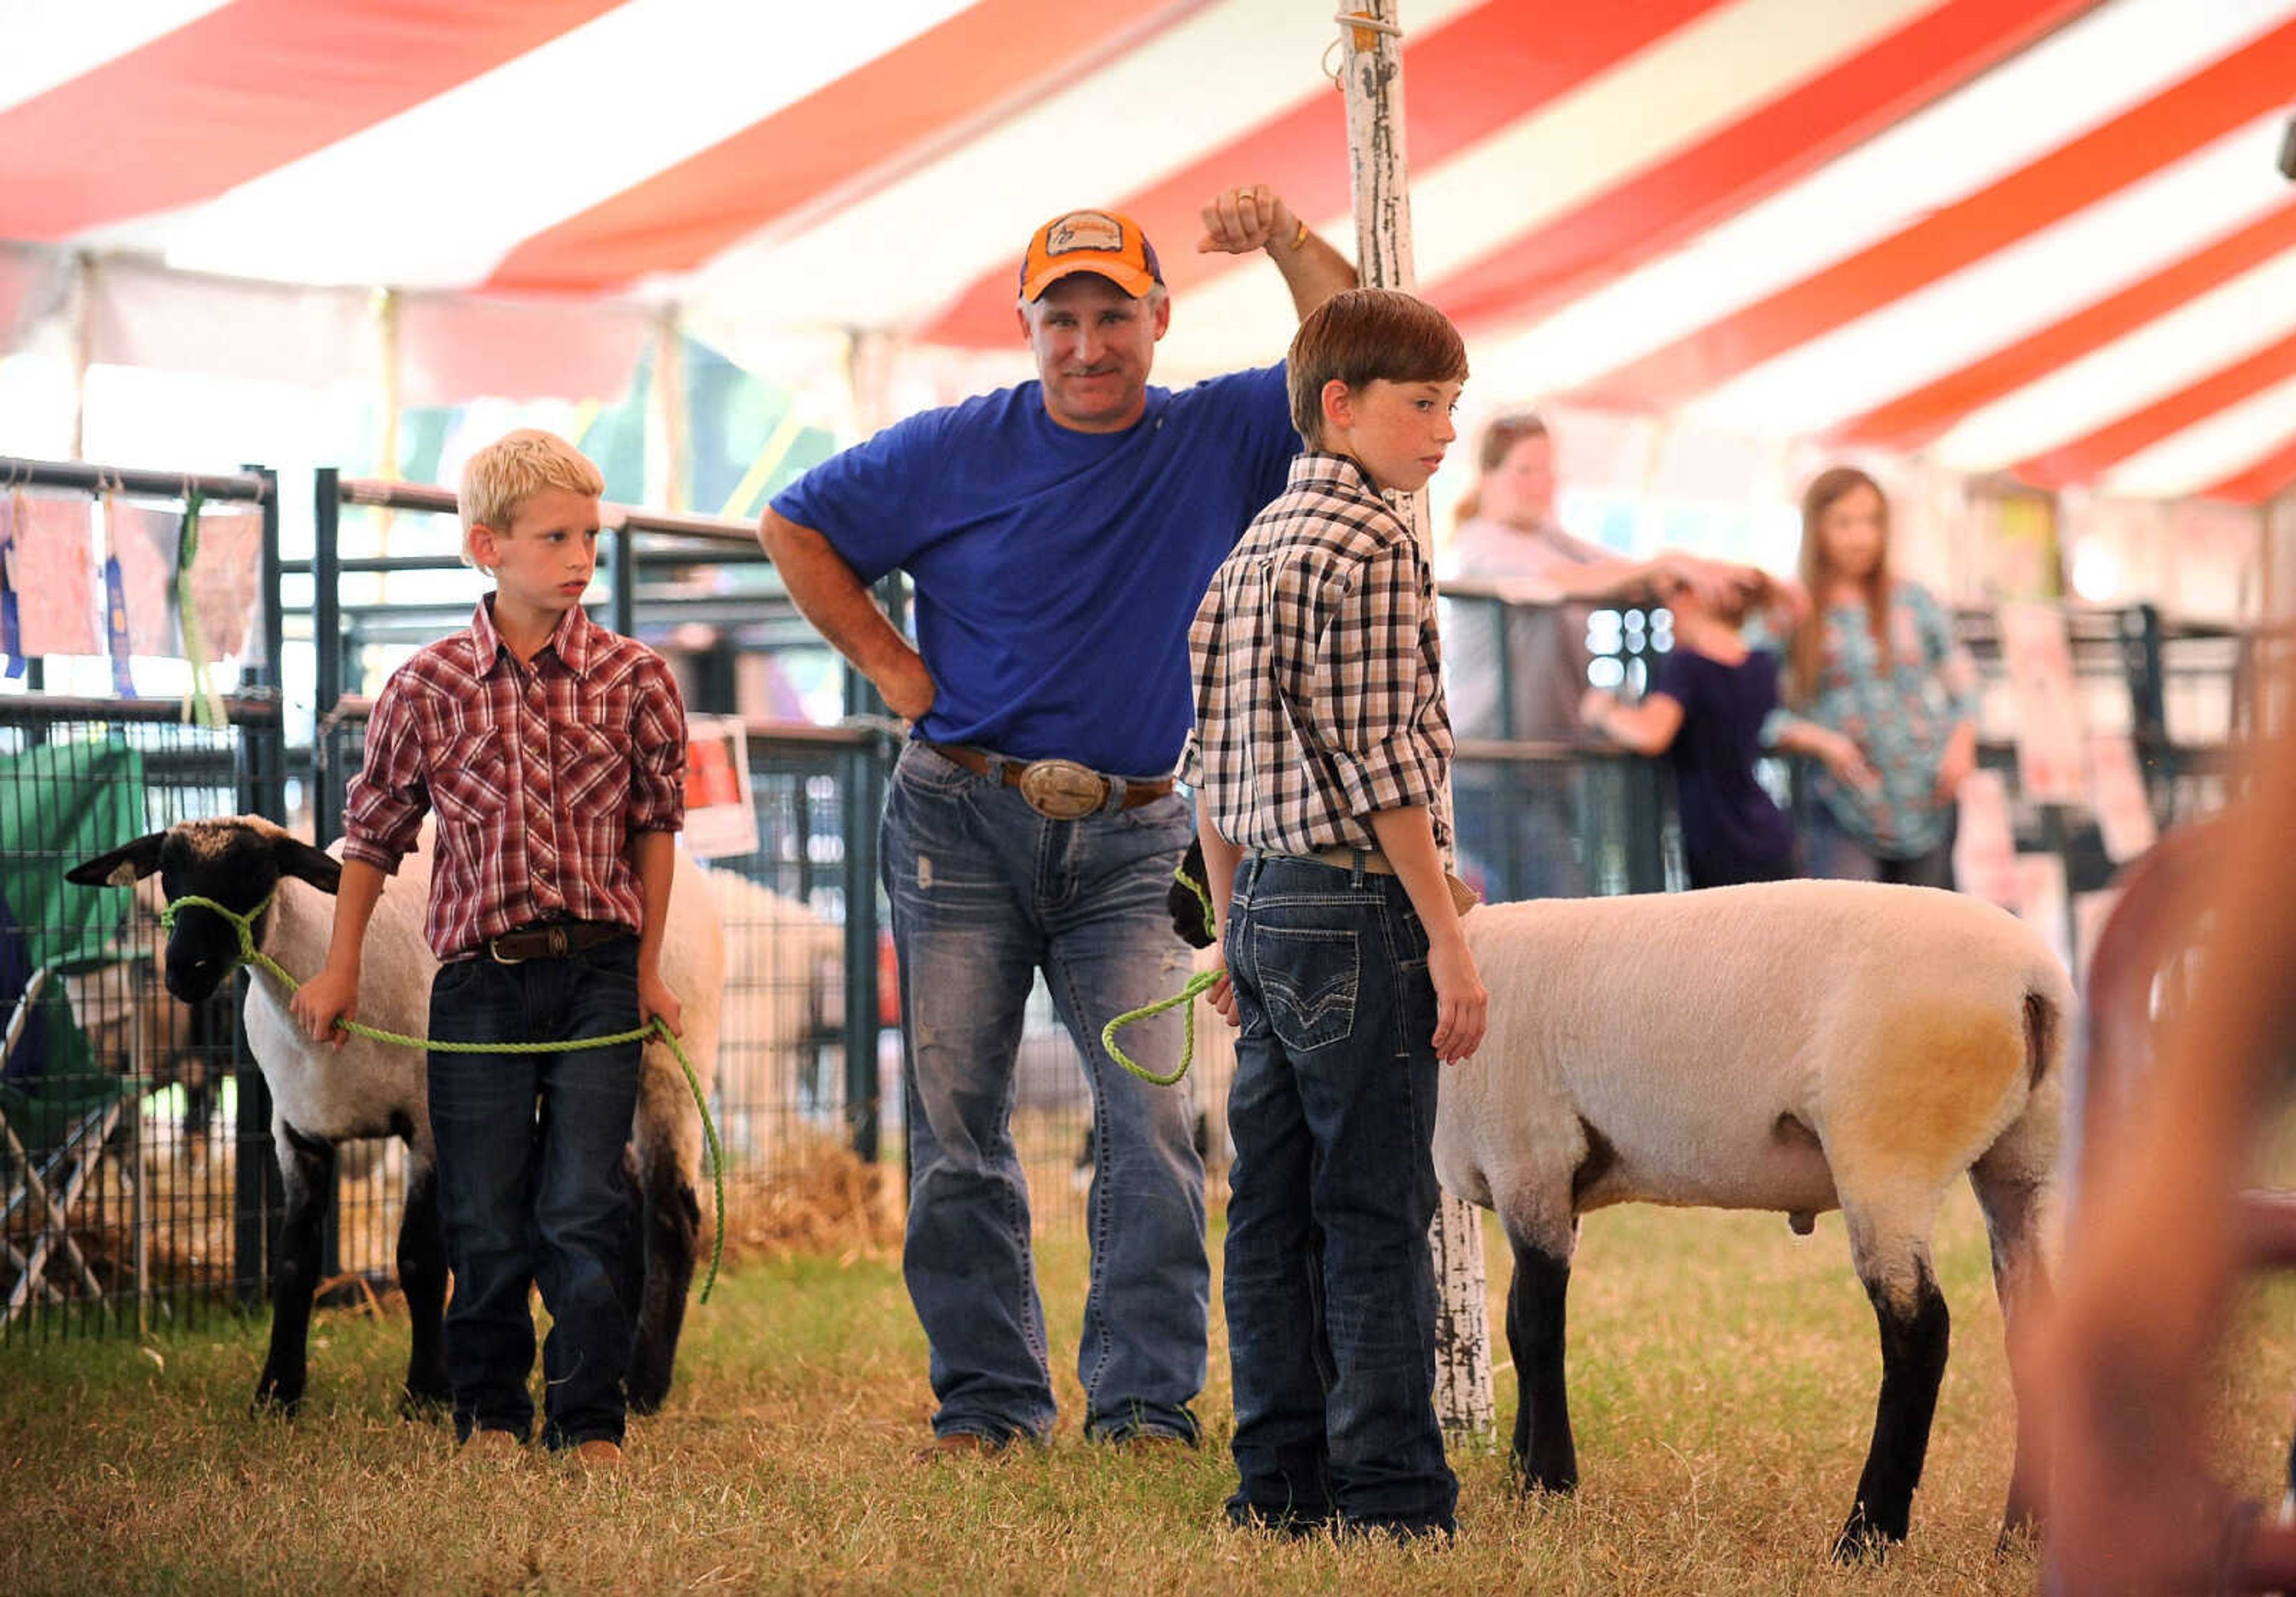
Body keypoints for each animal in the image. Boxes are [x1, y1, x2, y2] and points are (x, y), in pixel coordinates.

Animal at [67, 817, 720, 1413]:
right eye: (168, 873)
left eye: (255, 873)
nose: (185, 970)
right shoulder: (295, 1130)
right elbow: (295, 1260)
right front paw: (277, 1392)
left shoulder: (427, 1122)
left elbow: (419, 1259)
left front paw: (427, 1391)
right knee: (624, 1200)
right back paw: (613, 1362)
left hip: (669, 1060)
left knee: (672, 1214)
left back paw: (644, 1385)